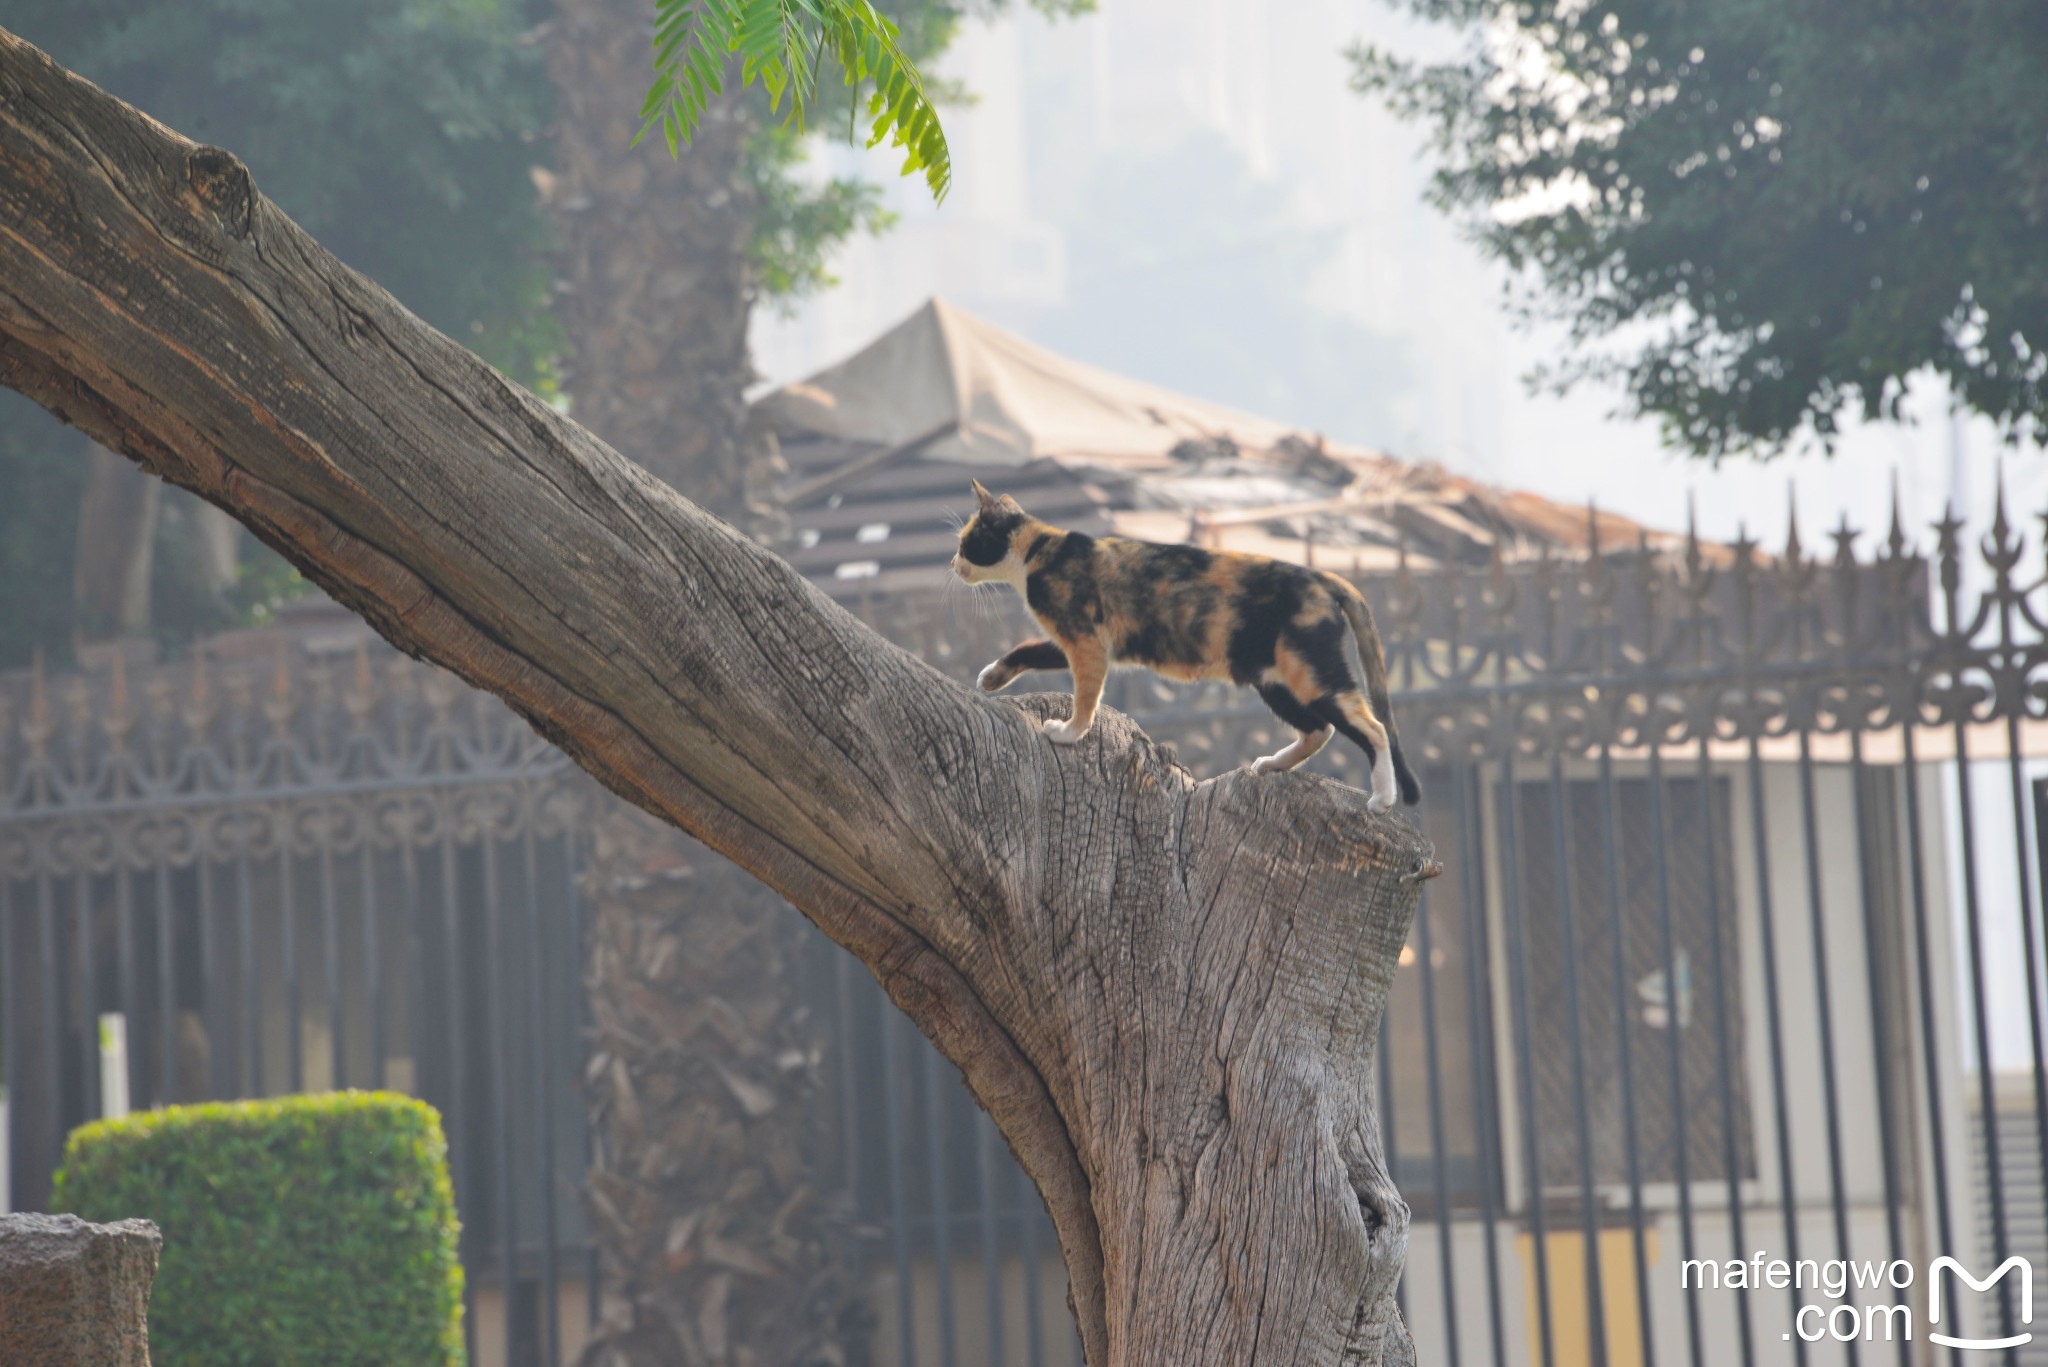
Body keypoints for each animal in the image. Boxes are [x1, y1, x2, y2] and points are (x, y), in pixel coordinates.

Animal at [946, 483, 1417, 811]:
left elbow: (1085, 696)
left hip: (1312, 673)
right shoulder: (1076, 642)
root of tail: (1324, 578)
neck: (1041, 549)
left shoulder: (1086, 643)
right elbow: (1027, 647)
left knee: (1372, 727)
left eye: (966, 542)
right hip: (1273, 680)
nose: (953, 564)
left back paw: (1383, 799)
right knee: (1321, 729)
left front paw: (1070, 732)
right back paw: (1272, 764)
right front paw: (993, 676)